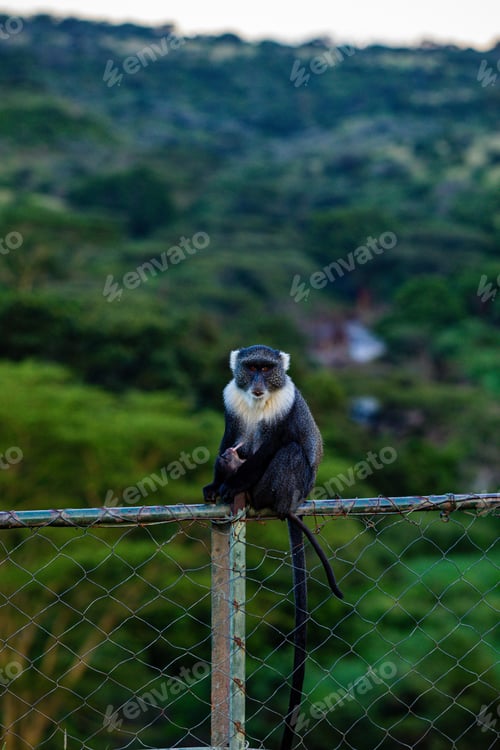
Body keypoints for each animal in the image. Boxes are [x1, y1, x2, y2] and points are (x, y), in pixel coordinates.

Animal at [203, 344, 343, 750]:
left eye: (267, 369)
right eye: (251, 368)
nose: (259, 383)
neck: (256, 401)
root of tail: (290, 504)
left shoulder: (285, 409)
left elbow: (276, 445)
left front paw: (230, 486)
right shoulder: (231, 402)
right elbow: (228, 437)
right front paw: (215, 485)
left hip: (286, 486)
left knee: (290, 451)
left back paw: (244, 491)